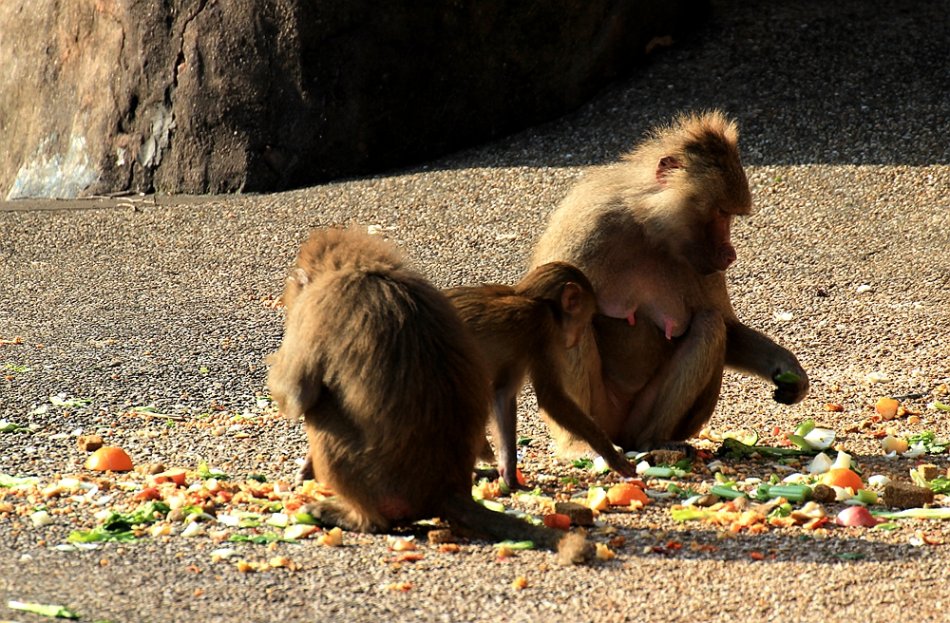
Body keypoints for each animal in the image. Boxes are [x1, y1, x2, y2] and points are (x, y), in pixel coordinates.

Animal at [268, 230, 592, 564]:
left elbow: (297, 395)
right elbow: (512, 396)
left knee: (321, 411)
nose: (577, 338)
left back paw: (357, 518)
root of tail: (443, 491)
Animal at [446, 260, 640, 490]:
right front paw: (611, 454)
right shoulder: (542, 330)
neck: (532, 299)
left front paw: (509, 476)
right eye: (585, 319)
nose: (577, 338)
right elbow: (551, 398)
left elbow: (503, 395)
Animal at [532, 111, 808, 454]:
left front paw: (788, 371)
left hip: (636, 420)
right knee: (571, 311)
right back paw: (579, 444)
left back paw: (655, 440)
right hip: (598, 414)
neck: (648, 228)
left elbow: (728, 328)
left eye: (730, 214)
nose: (730, 254)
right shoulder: (589, 229)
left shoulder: (702, 266)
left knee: (710, 323)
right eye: (721, 212)